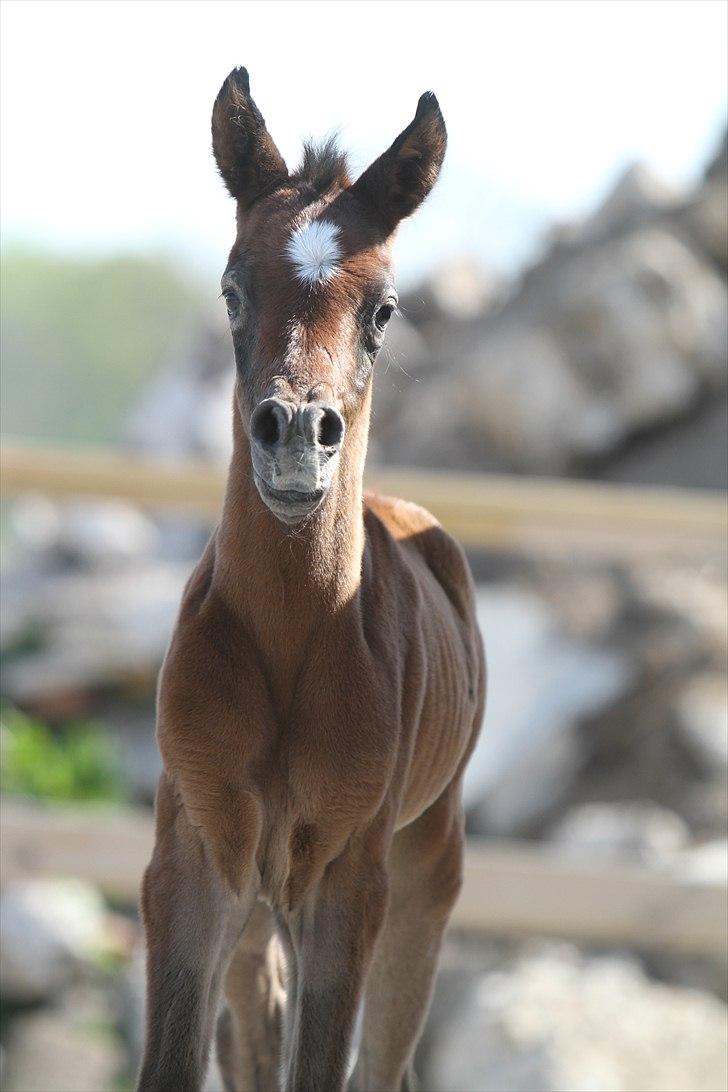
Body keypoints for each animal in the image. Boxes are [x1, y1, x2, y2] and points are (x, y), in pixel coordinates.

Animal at [138, 68, 486, 1092]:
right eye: (231, 287)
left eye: (385, 309)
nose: (296, 433)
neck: (293, 641)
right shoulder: (194, 858)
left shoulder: (345, 880)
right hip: (261, 912)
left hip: (424, 876)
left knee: (384, 1062)